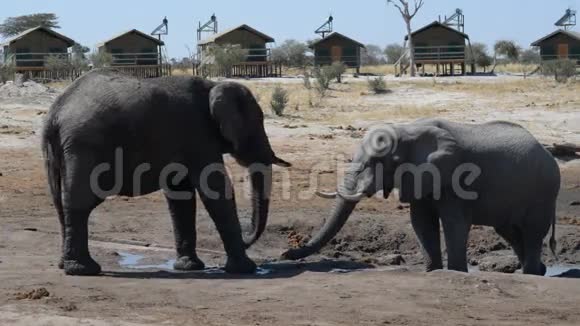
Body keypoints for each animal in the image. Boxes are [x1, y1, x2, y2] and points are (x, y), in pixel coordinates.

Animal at [42, 70, 290, 276]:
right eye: (258, 123)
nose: (248, 238)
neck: (213, 87)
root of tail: (55, 112)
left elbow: (180, 196)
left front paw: (189, 267)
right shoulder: (198, 134)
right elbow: (215, 190)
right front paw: (245, 269)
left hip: (61, 151)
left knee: (60, 202)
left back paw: (66, 265)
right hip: (84, 145)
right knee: (80, 201)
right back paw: (84, 270)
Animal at [284, 118, 560, 276]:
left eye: (381, 161)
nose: (286, 254)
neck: (407, 129)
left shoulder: (454, 176)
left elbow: (454, 223)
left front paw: (455, 273)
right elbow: (421, 222)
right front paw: (433, 271)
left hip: (543, 192)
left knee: (532, 232)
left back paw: (531, 274)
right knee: (511, 232)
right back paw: (538, 271)